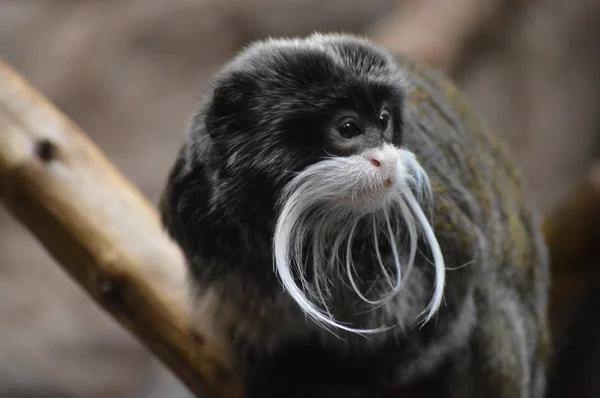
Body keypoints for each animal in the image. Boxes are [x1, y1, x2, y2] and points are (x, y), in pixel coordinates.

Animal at [157, 32, 552, 396]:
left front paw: (354, 377)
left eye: (383, 120)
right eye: (348, 128)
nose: (386, 158)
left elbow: (459, 285)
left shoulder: (433, 207)